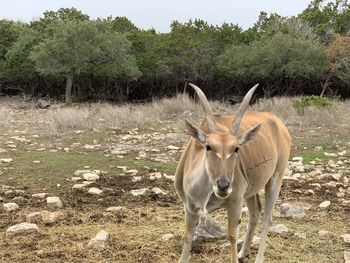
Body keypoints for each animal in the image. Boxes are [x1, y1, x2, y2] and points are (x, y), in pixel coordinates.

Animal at [174, 84, 292, 263]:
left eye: (236, 148)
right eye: (208, 146)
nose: (223, 186)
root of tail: (278, 123)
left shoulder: (235, 202)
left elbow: (232, 236)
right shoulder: (189, 207)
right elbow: (188, 237)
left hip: (275, 178)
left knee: (267, 218)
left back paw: (257, 258)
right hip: (251, 190)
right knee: (255, 212)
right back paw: (243, 253)